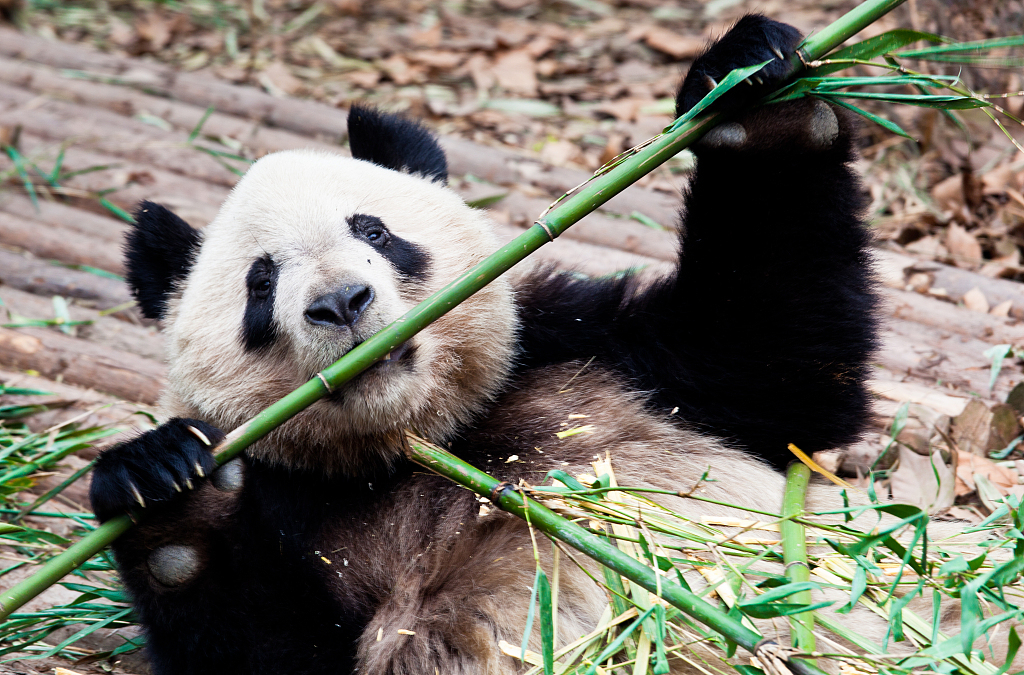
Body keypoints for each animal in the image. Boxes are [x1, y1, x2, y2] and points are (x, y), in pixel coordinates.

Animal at [90, 15, 880, 675]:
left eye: (374, 230)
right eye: (261, 284)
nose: (342, 303)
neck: (416, 441)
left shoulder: (589, 349)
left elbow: (776, 363)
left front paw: (757, 93)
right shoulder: (293, 504)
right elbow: (267, 651)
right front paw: (164, 491)